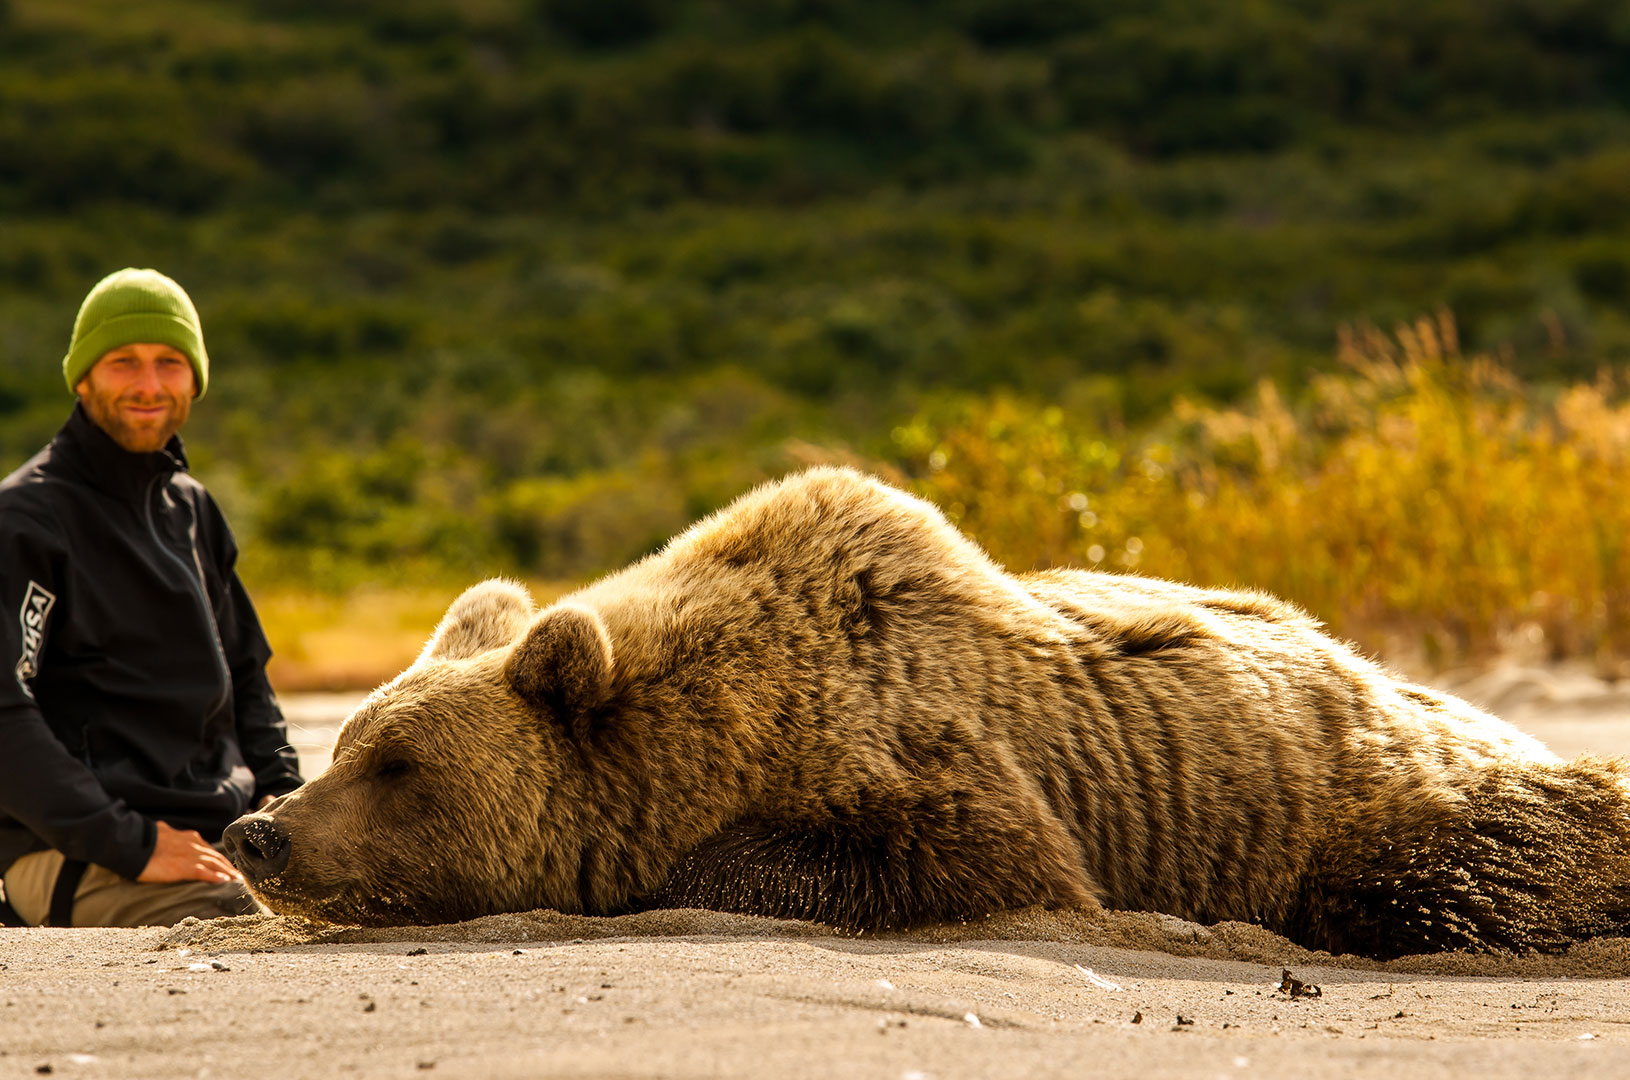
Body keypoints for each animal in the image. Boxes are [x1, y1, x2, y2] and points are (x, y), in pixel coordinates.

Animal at [224, 466, 1630, 959]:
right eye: (347, 743)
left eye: (396, 762)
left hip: (1397, 802)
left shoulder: (921, 743)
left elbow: (973, 855)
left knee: (1441, 877)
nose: (259, 831)